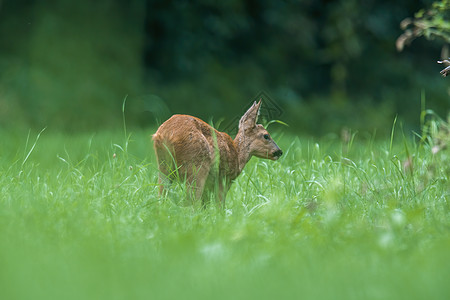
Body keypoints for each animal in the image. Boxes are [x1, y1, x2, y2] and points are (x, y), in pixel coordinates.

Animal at [153, 101, 284, 206]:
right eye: (266, 135)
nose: (279, 151)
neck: (237, 157)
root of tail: (166, 134)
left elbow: (205, 206)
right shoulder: (223, 180)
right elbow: (220, 205)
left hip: (164, 166)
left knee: (162, 196)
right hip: (197, 166)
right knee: (191, 202)